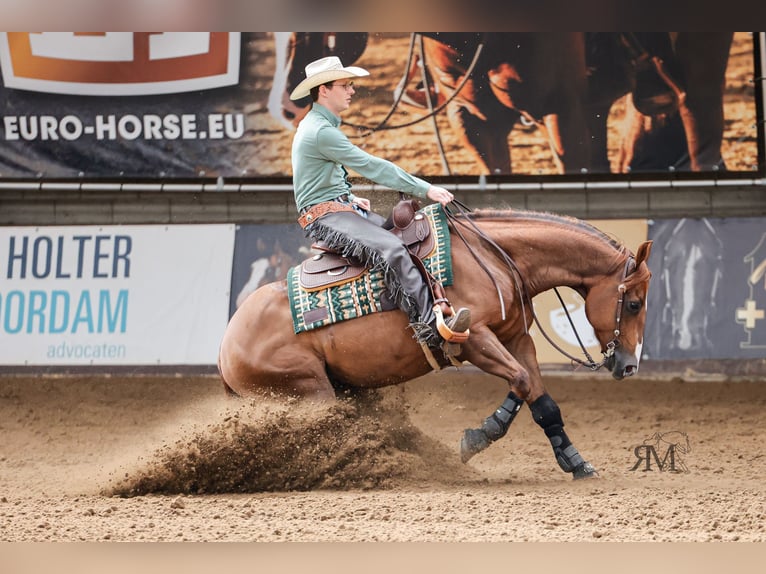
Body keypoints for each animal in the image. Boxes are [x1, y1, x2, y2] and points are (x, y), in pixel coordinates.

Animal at [219, 208, 656, 482]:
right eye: (634, 304)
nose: (630, 365)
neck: (494, 258)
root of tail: (226, 346)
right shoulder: (475, 339)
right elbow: (520, 381)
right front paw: (477, 437)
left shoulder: (517, 339)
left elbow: (541, 399)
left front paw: (576, 462)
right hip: (309, 392)